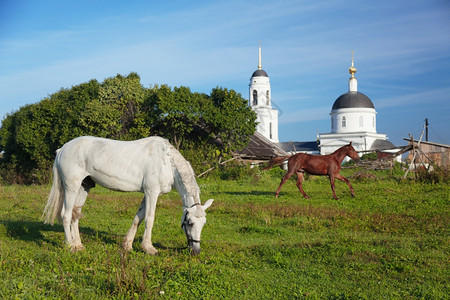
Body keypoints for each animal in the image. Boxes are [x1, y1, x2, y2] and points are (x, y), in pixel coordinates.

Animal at [41, 136, 214, 255]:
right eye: (190, 223)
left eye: (204, 224)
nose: (196, 251)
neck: (166, 162)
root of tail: (62, 149)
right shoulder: (152, 192)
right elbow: (149, 219)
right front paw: (149, 248)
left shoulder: (147, 194)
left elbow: (138, 218)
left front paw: (127, 245)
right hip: (71, 186)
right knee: (66, 215)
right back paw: (70, 246)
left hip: (84, 187)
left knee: (75, 215)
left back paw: (78, 245)